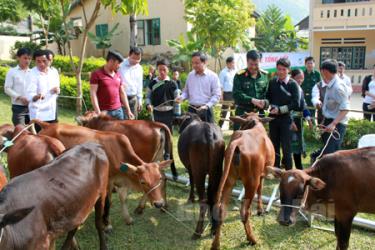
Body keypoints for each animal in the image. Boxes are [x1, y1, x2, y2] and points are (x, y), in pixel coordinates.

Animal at [33, 120, 172, 229]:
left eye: (159, 179)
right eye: (143, 181)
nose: (159, 203)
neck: (118, 151)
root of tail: (47, 125)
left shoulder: (122, 181)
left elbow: (123, 198)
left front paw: (127, 218)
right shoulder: (108, 182)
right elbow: (108, 202)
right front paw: (107, 224)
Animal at [212, 114, 276, 250]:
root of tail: (239, 141)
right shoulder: (261, 175)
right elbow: (260, 191)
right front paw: (260, 210)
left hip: (229, 180)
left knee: (221, 211)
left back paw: (215, 244)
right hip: (252, 181)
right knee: (244, 211)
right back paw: (252, 239)